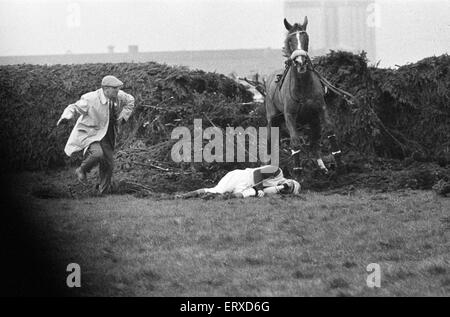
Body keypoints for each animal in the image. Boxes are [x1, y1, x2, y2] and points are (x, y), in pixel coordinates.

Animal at [266, 16, 342, 173]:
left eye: (305, 37)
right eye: (290, 40)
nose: (300, 62)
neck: (302, 87)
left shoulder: (320, 110)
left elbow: (329, 131)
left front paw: (337, 163)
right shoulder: (289, 115)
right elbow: (295, 141)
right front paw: (297, 170)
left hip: (312, 120)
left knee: (315, 142)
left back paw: (322, 167)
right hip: (272, 118)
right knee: (270, 140)